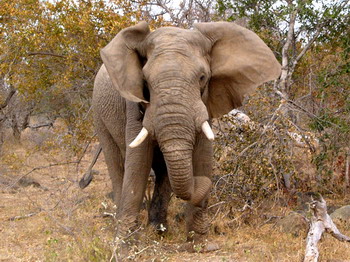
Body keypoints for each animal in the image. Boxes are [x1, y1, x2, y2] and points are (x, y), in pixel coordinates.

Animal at [91, 21, 280, 243]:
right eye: (145, 82)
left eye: (202, 77)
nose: (206, 183)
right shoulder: (134, 105)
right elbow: (138, 165)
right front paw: (123, 245)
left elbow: (203, 157)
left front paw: (199, 244)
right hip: (98, 115)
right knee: (116, 163)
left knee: (163, 172)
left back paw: (159, 230)